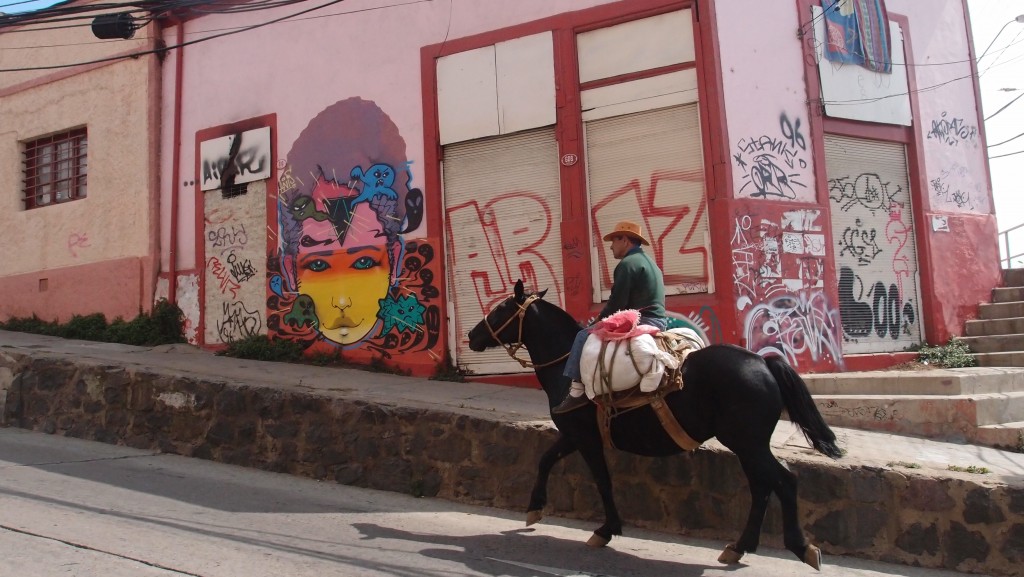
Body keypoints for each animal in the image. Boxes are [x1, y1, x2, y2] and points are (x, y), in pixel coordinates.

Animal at [468, 282, 843, 569]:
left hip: (747, 443)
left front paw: (605, 529)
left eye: (501, 308)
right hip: (748, 445)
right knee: (762, 486)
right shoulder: (574, 436)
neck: (564, 366)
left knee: (784, 481)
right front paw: (535, 509)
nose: (472, 335)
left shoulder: (583, 437)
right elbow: (546, 461)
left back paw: (800, 547)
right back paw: (739, 547)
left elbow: (600, 480)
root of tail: (764, 364)